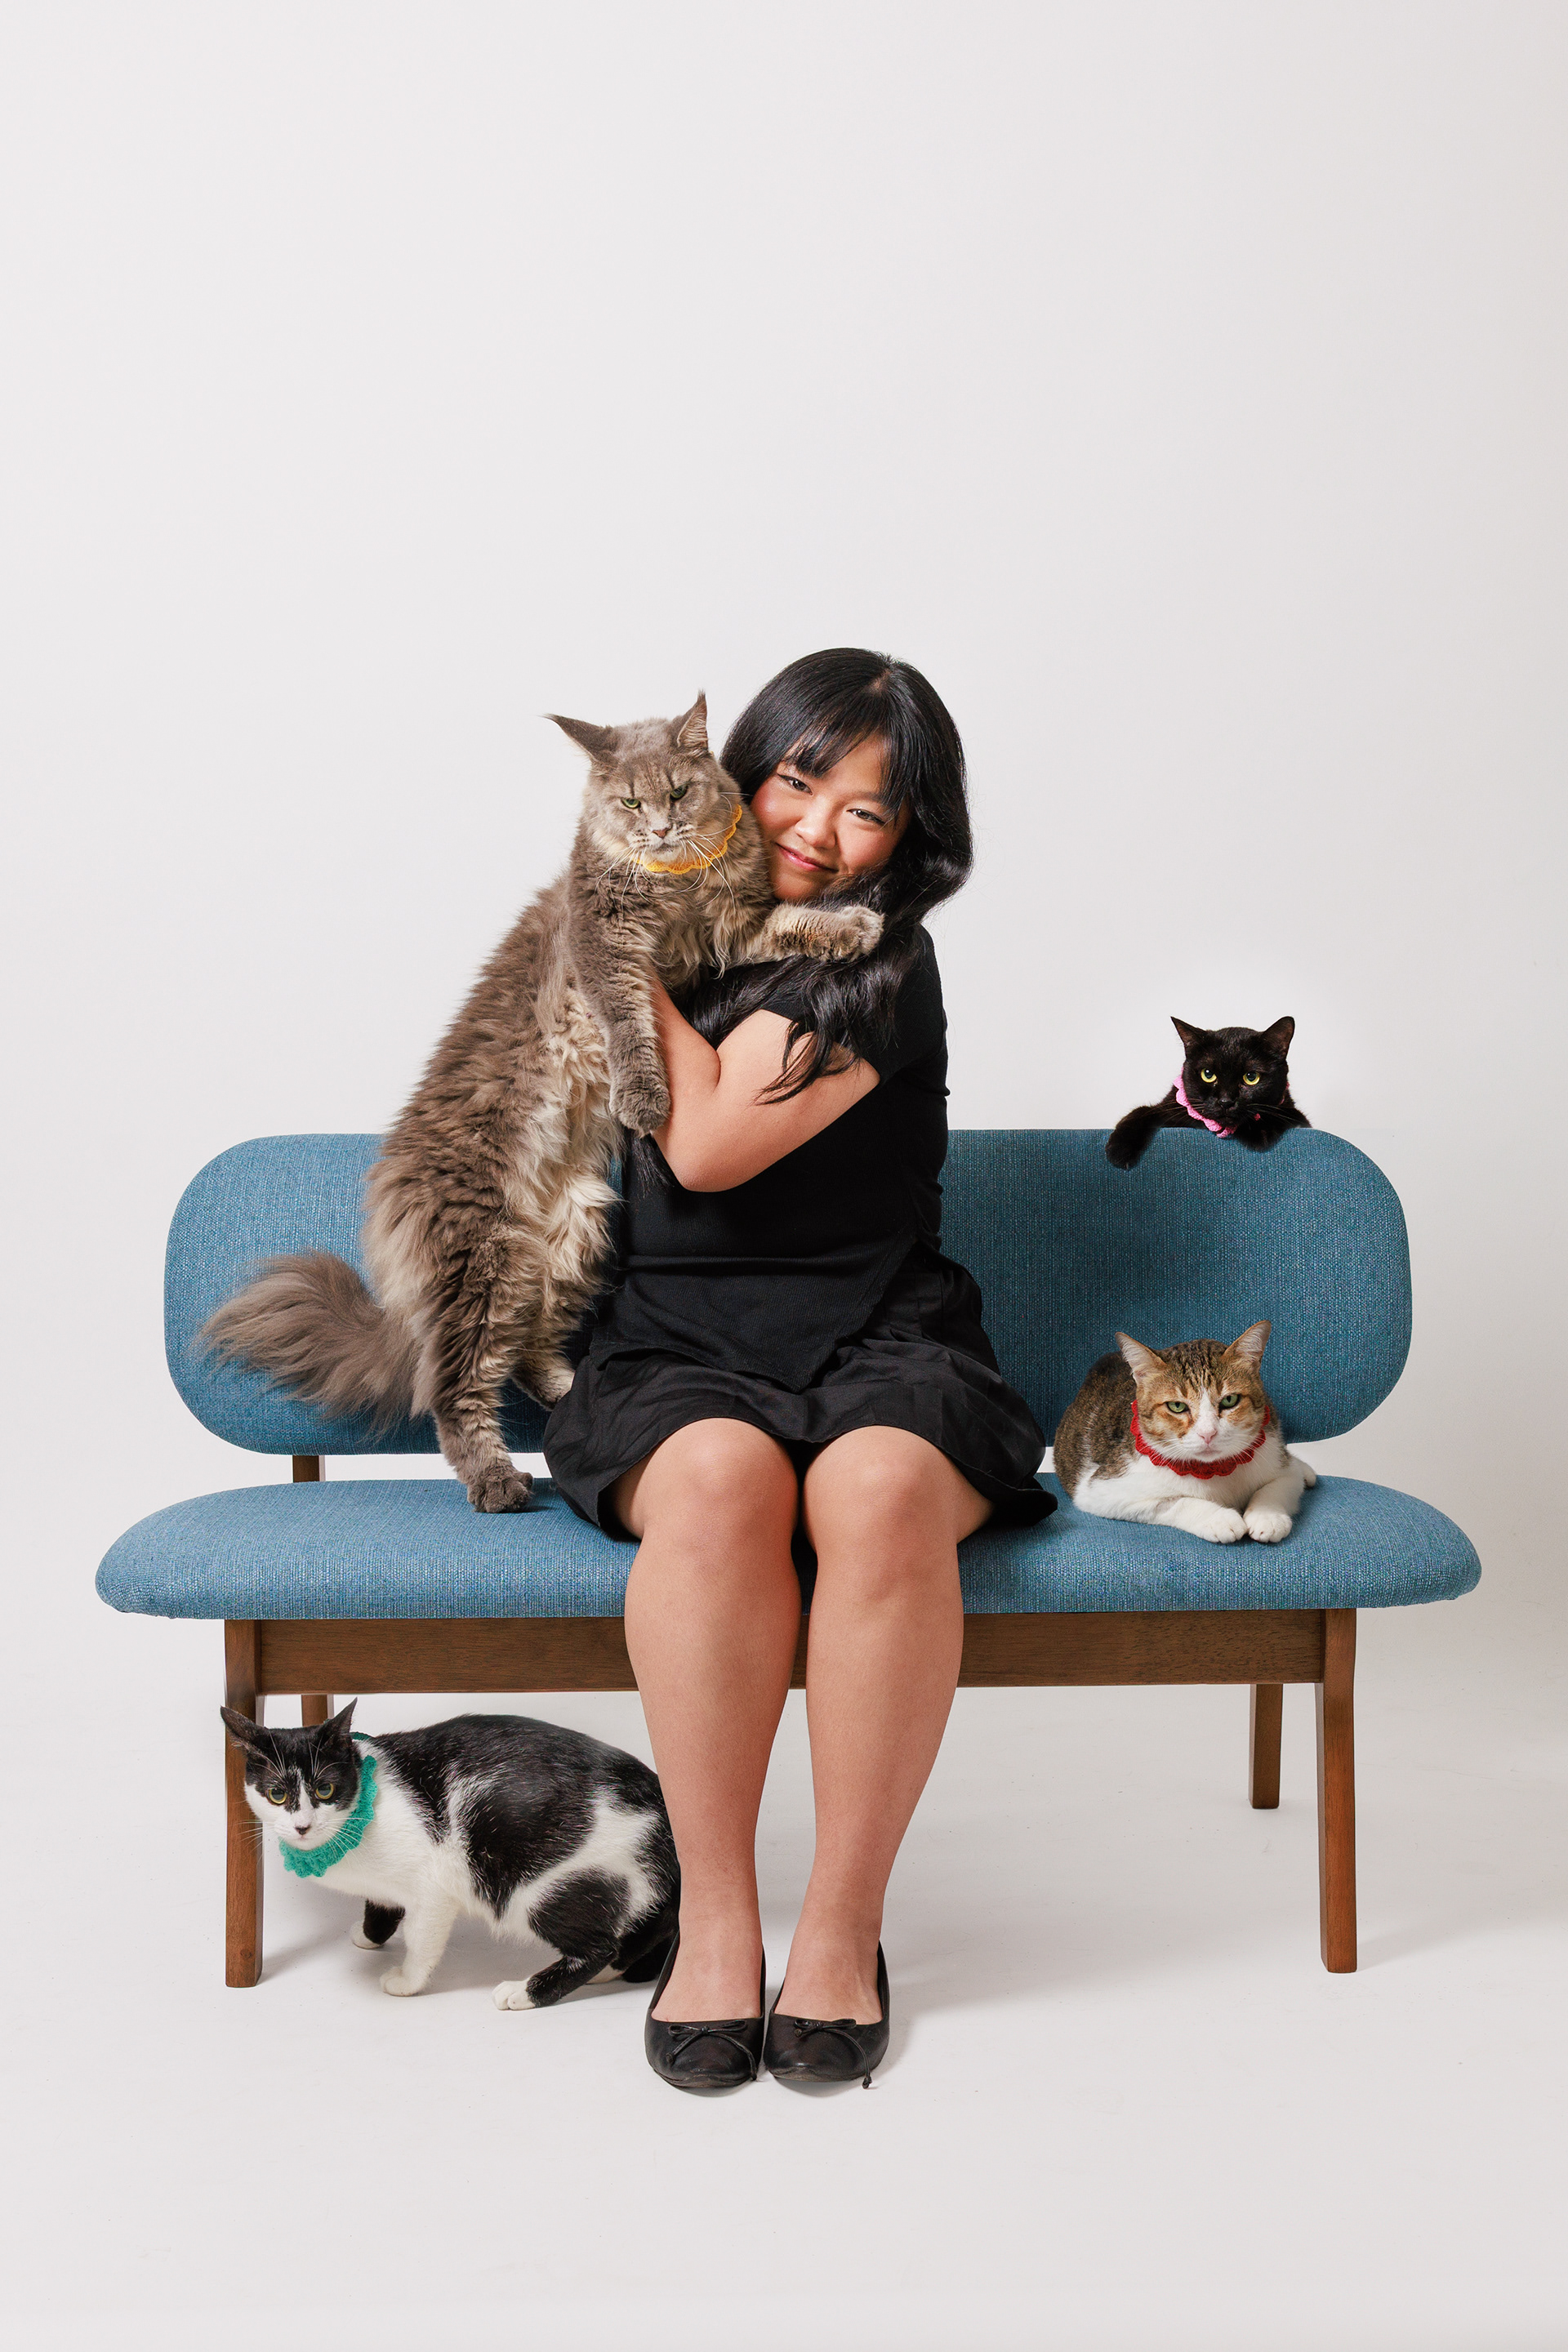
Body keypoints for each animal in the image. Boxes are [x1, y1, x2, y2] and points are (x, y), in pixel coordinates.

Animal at [205, 695, 881, 1511]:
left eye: (678, 792)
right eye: (630, 803)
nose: (661, 830)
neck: (677, 884)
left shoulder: (730, 930)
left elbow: (789, 924)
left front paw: (854, 927)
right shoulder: (605, 948)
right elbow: (629, 1030)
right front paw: (643, 1098)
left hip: (566, 1237)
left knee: (523, 1354)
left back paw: (572, 1393)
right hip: (484, 1260)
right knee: (454, 1391)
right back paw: (499, 1482)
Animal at [219, 1701, 680, 2008]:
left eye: (325, 1789)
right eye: (277, 1795)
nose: (302, 1826)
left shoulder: (433, 1886)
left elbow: (421, 1937)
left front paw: (406, 1982)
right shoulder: (386, 1885)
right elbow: (381, 1907)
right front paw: (368, 1935)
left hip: (539, 1887)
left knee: (598, 1946)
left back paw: (525, 1992)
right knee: (645, 1929)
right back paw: (610, 1972)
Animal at [1052, 1320, 1315, 1544]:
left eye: (1229, 1400)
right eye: (1177, 1406)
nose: (1208, 1433)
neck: (1214, 1471)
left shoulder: (1278, 1461)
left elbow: (1279, 1485)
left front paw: (1267, 1516)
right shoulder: (1101, 1489)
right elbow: (1174, 1502)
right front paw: (1220, 1519)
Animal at [1106, 1017, 1309, 1169]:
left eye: (1251, 1077)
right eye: (1208, 1074)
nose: (1226, 1101)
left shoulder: (1299, 1118)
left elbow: (1277, 1114)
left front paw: (1260, 1132)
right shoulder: (1168, 1109)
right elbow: (1141, 1111)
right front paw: (1120, 1149)